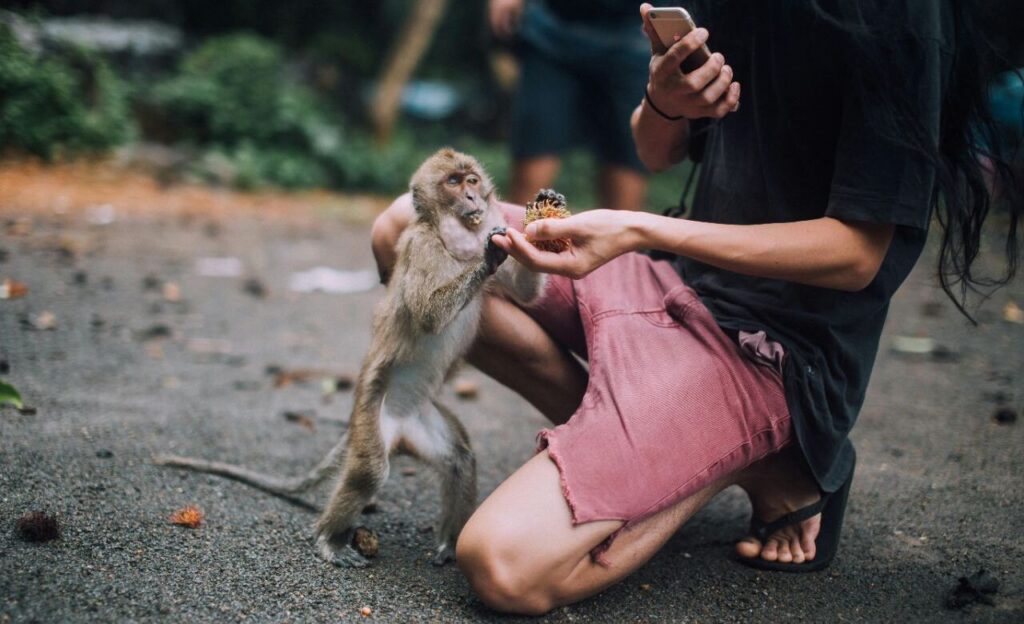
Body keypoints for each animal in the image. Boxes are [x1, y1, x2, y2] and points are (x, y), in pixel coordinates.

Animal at [155, 148, 548, 567]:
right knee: (370, 472)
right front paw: (490, 254)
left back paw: (446, 544)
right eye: (453, 183)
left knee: (460, 459)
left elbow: (525, 293)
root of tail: (399, 423)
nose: (473, 197)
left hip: (421, 421)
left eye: (471, 179)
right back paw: (329, 538)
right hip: (369, 415)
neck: (453, 237)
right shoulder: (422, 247)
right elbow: (428, 314)